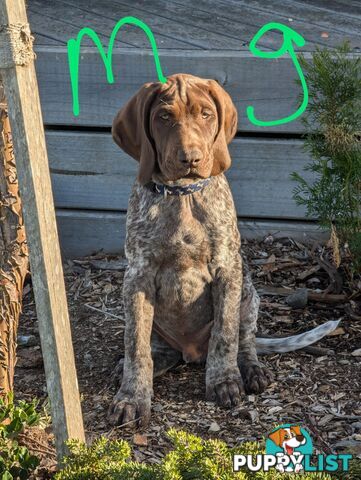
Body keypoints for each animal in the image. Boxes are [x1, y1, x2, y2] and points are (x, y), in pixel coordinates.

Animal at [108, 73, 338, 426]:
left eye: (206, 114)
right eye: (164, 117)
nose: (190, 158)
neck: (182, 196)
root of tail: (191, 351)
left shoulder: (226, 270)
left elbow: (224, 335)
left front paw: (224, 382)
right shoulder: (138, 277)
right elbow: (136, 346)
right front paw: (132, 396)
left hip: (249, 295)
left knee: (244, 341)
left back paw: (252, 370)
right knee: (157, 349)